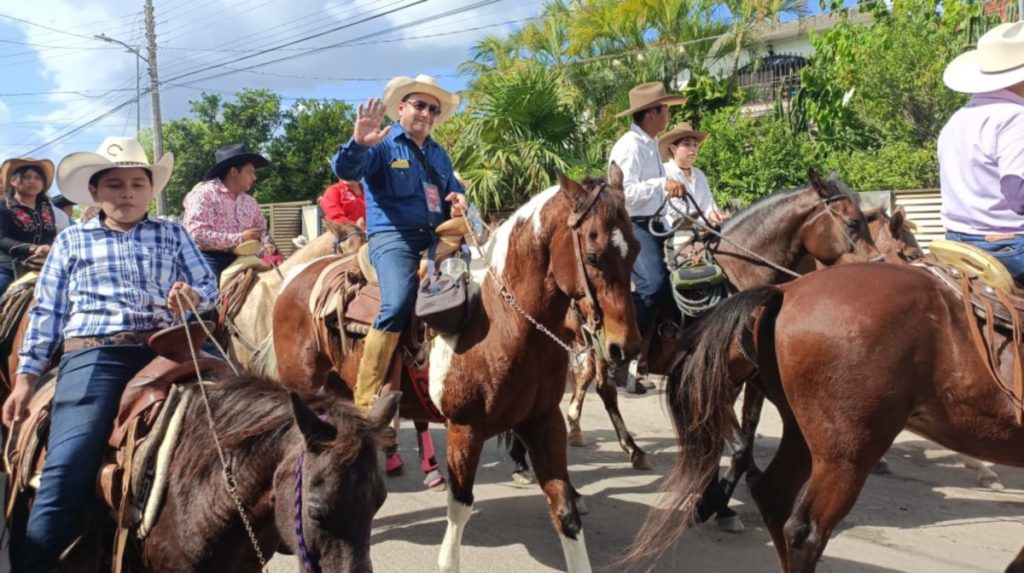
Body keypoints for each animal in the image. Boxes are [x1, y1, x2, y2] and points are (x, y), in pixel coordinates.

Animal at [272, 167, 638, 568]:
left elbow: (565, 511)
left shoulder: (543, 420)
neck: (504, 319)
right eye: (593, 255)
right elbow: (460, 507)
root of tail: (296, 276)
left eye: (636, 249)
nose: (625, 346)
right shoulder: (465, 429)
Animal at [565, 170, 876, 470]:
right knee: (600, 386)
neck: (735, 275)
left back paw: (626, 447)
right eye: (853, 223)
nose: (877, 266)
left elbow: (742, 426)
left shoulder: (740, 377)